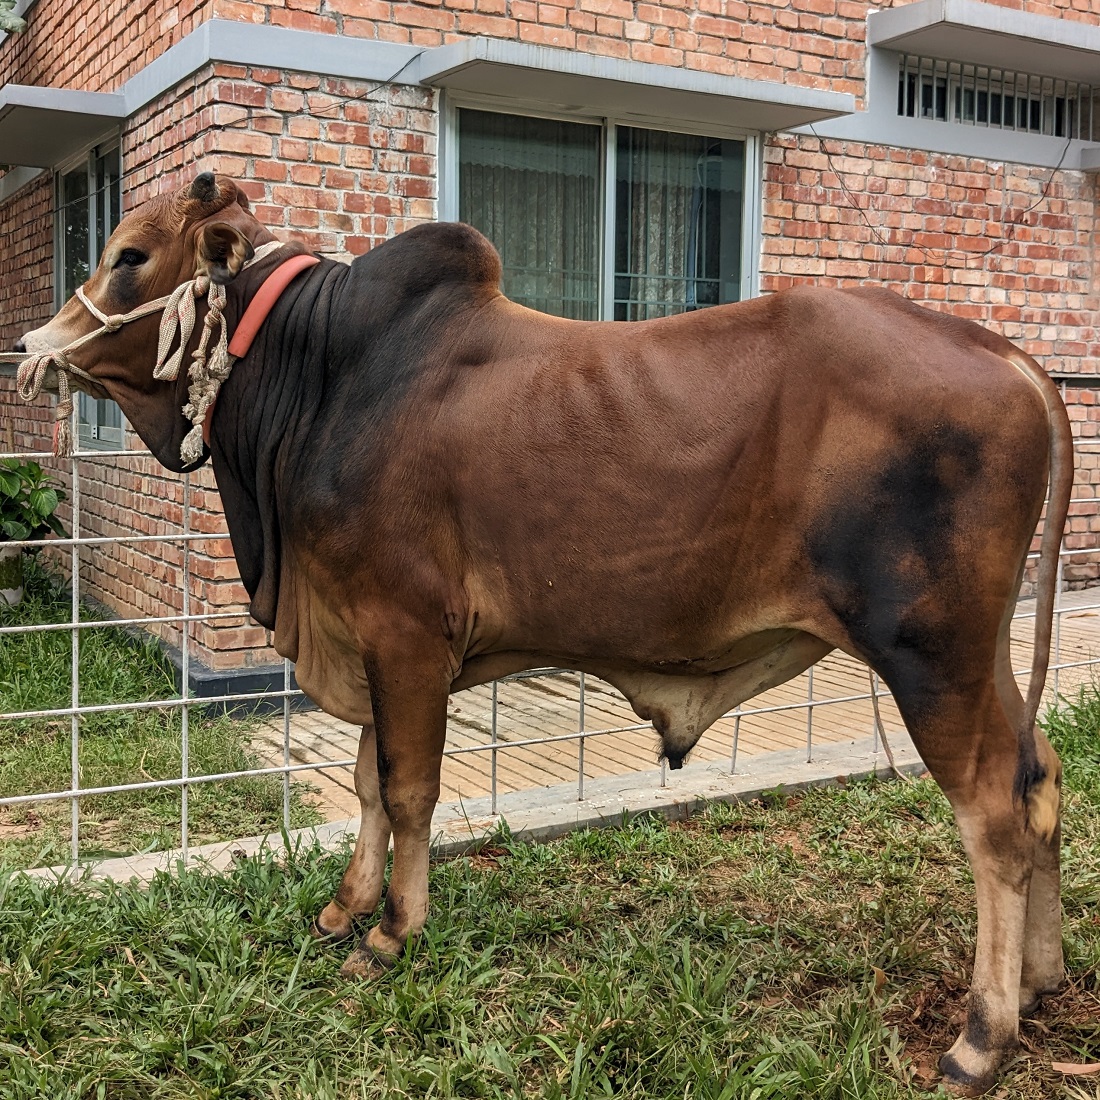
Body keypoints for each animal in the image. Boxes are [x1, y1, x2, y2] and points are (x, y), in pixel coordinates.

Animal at [10, 171, 1073, 1091]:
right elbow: (365, 781)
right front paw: (344, 909)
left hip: (929, 654)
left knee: (992, 816)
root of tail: (1010, 359)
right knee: (1039, 776)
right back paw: (1041, 979)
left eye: (130, 256)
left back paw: (983, 1035)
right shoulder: (364, 634)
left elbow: (407, 790)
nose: (33, 347)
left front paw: (392, 933)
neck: (321, 381)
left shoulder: (404, 636)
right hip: (982, 657)